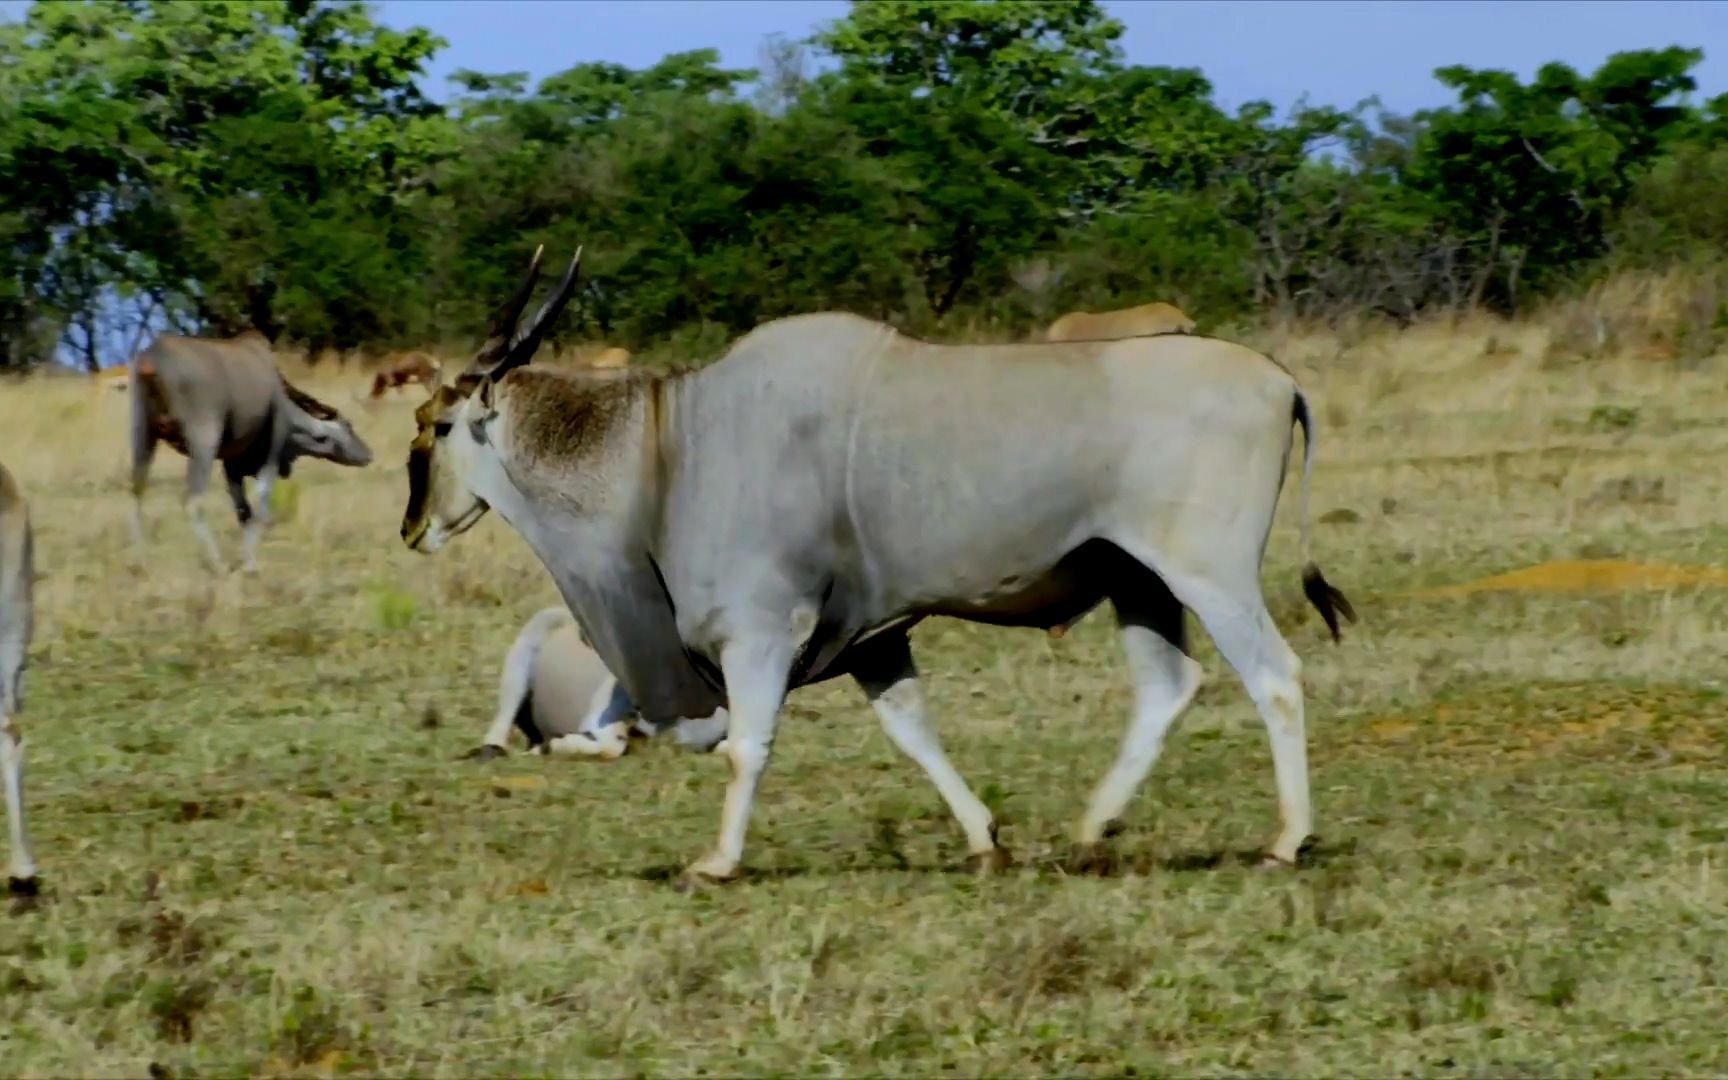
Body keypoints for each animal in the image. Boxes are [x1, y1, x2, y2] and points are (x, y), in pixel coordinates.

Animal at [128, 330, 374, 573]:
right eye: (349, 428)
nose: (368, 455)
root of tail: (154, 357)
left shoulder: (231, 468)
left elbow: (243, 512)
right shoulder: (270, 457)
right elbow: (261, 506)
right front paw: (251, 565)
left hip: (143, 436)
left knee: (138, 491)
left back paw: (141, 562)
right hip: (204, 443)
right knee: (193, 500)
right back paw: (217, 564)